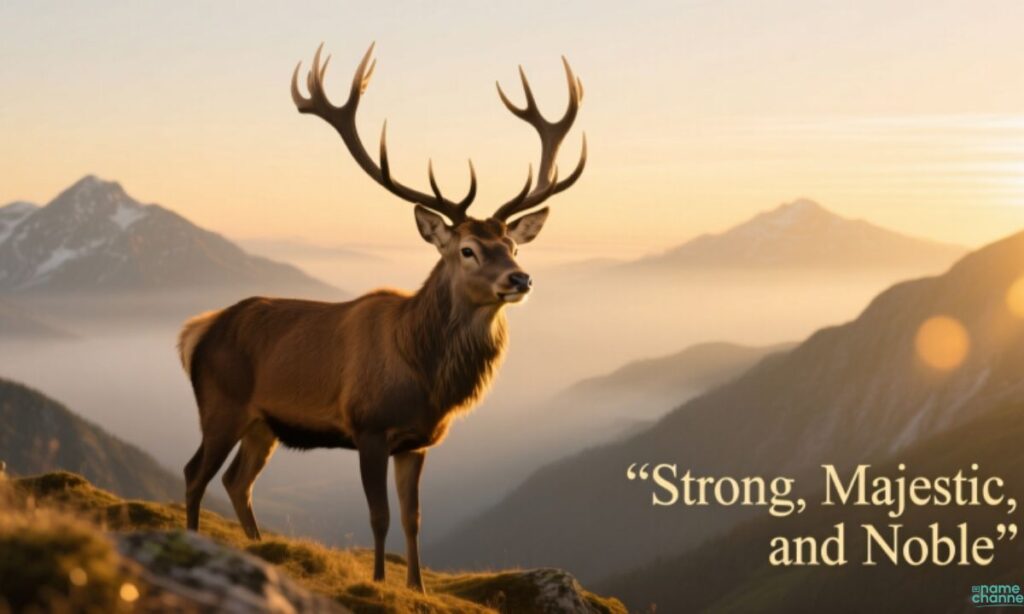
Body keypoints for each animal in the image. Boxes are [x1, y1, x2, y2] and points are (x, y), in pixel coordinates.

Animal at [177, 43, 585, 591]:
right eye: (468, 250)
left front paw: (416, 586)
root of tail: (197, 331)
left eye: (514, 245)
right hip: (221, 403)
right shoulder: (367, 426)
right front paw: (375, 580)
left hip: (263, 423)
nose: (520, 279)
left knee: (236, 481)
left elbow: (414, 518)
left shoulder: (418, 442)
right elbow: (379, 515)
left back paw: (260, 549)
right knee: (195, 473)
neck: (424, 377)